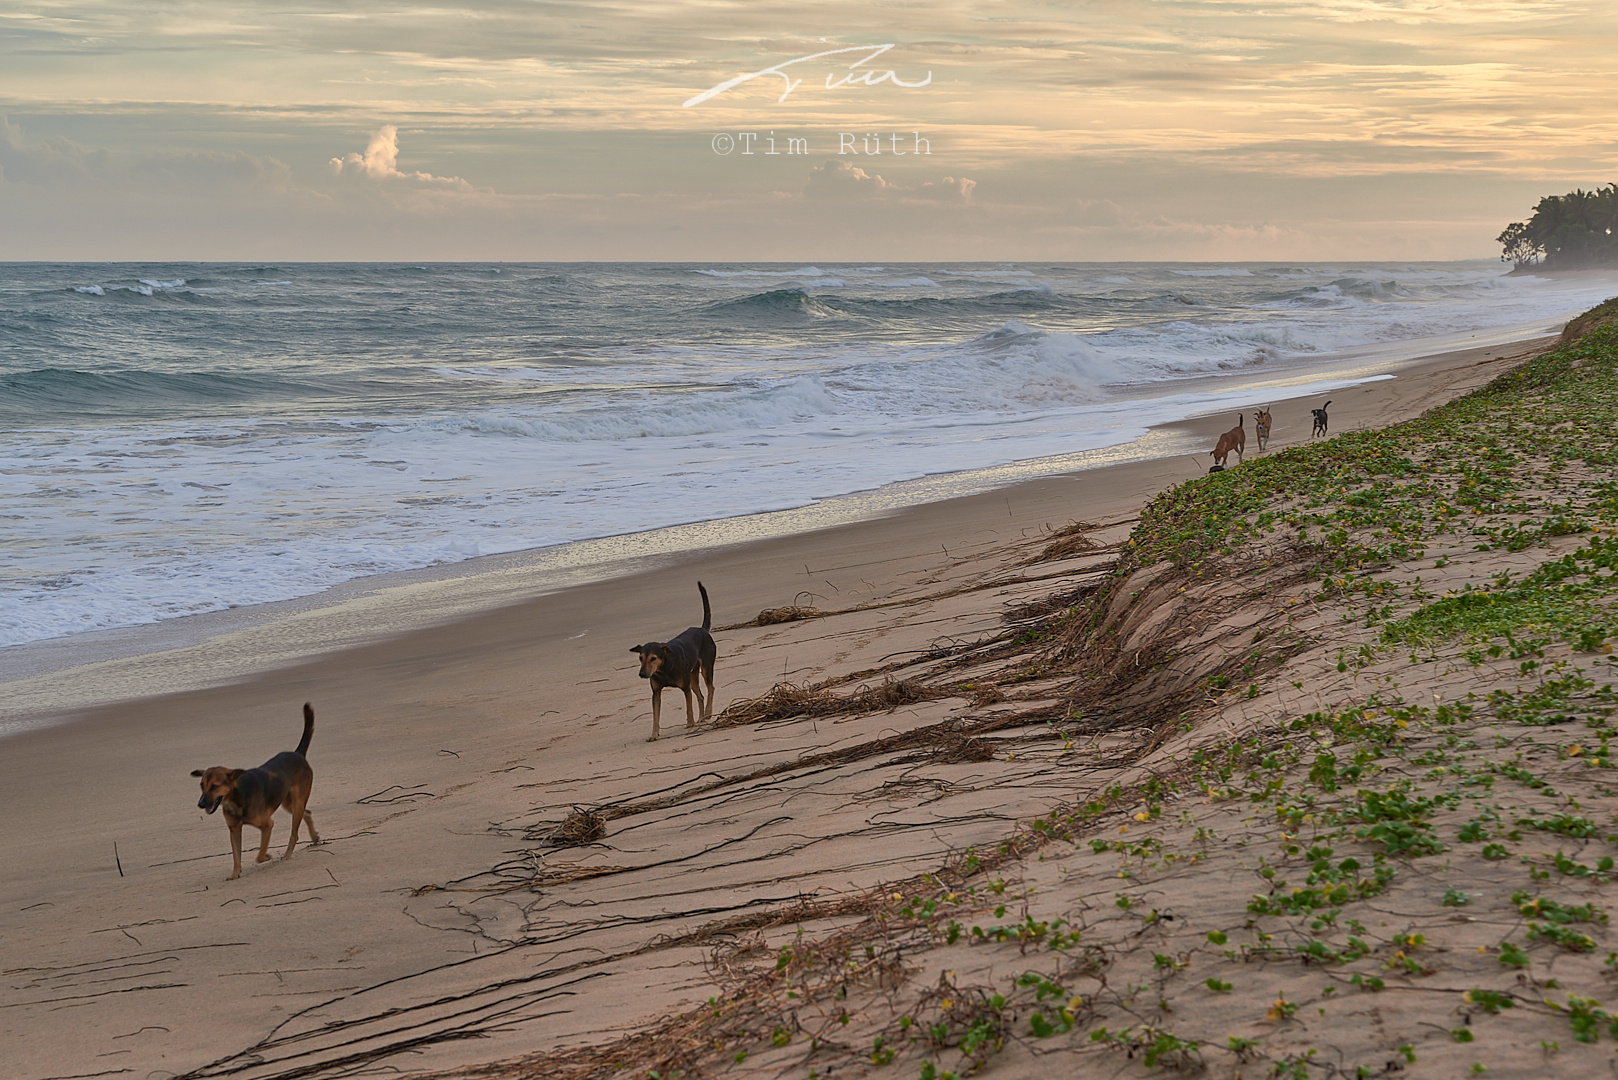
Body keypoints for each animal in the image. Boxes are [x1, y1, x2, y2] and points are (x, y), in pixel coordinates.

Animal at [193, 705, 321, 880]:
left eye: (214, 786)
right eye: (202, 785)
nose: (201, 804)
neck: (237, 798)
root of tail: (298, 753)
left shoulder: (267, 824)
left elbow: (259, 854)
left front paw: (267, 856)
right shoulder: (234, 830)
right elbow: (236, 856)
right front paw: (235, 873)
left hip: (297, 802)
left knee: (294, 834)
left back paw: (287, 855)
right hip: (289, 803)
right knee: (307, 813)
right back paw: (314, 837)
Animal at [624, 582, 715, 744]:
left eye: (653, 658)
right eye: (640, 657)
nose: (642, 674)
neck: (664, 669)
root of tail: (703, 630)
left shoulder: (685, 687)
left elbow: (688, 707)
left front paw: (690, 723)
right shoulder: (656, 693)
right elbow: (655, 717)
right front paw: (654, 734)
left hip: (706, 668)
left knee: (711, 688)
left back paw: (708, 714)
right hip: (693, 677)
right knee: (700, 696)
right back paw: (701, 718)